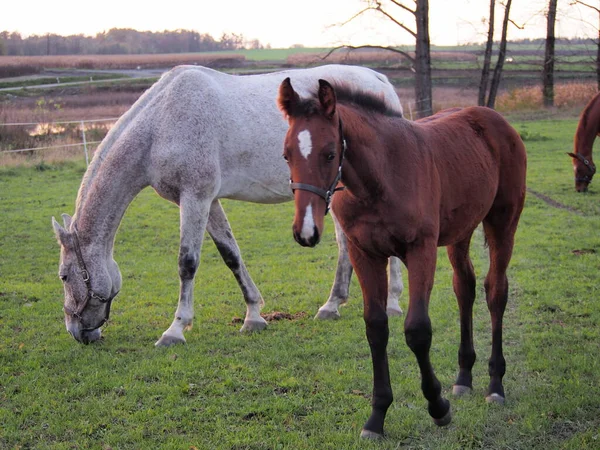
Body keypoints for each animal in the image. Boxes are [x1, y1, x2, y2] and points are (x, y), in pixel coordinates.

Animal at [276, 78, 524, 440]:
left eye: (330, 153)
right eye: (286, 154)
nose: (305, 231)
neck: (380, 178)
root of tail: (493, 118)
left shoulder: (420, 250)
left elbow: (417, 330)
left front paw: (437, 407)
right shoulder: (364, 254)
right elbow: (376, 328)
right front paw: (376, 417)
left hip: (502, 222)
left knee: (495, 290)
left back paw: (495, 385)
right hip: (460, 230)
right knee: (464, 286)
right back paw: (463, 379)